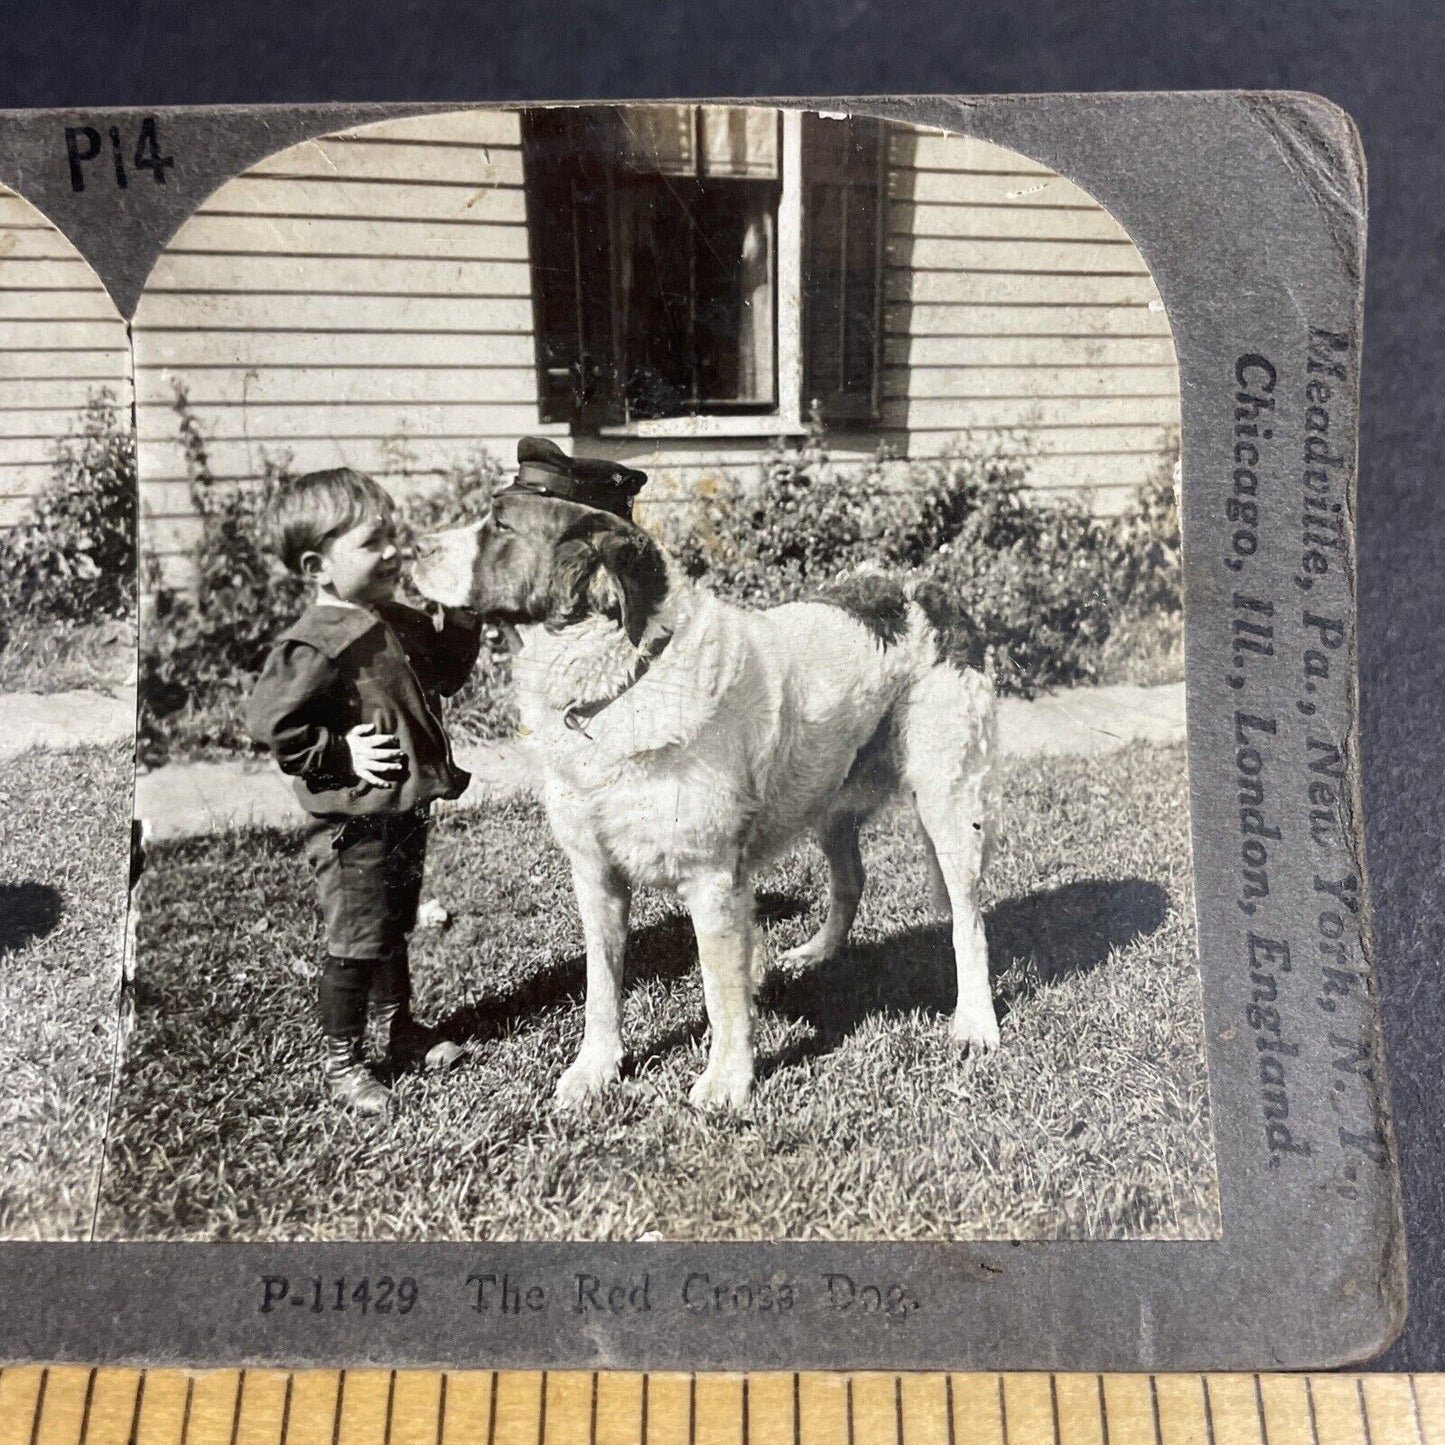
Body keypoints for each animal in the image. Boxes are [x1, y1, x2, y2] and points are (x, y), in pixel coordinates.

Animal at [407, 491, 994, 1109]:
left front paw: (727, 1081)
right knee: (851, 879)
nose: (411, 547)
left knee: (968, 919)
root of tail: (929, 587)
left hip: (949, 800)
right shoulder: (596, 876)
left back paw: (975, 1022)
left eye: (500, 525)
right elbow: (601, 984)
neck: (628, 681)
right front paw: (595, 1070)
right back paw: (819, 953)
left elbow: (720, 990)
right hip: (828, 793)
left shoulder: (713, 880)